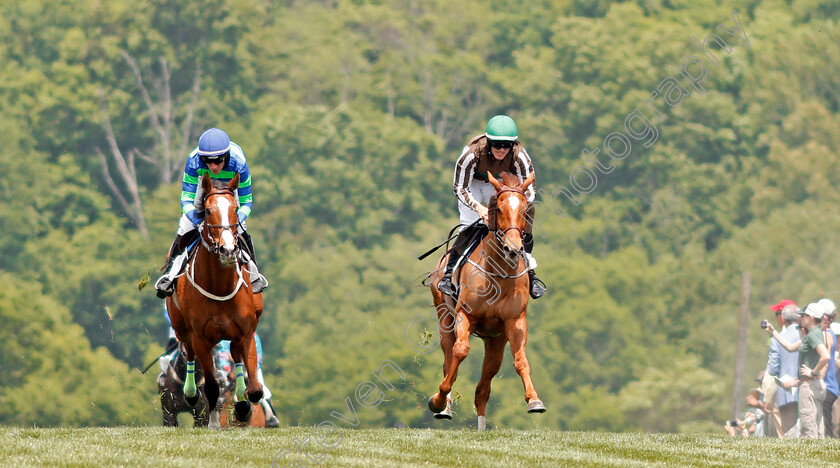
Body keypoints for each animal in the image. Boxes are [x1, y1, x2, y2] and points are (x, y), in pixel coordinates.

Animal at [166, 172, 264, 428]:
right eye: (208, 211)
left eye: (235, 208)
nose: (227, 249)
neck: (220, 287)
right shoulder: (201, 337)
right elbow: (211, 386)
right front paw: (212, 421)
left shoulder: (246, 333)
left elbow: (255, 390)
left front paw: (243, 407)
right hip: (182, 328)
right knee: (188, 351)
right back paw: (190, 393)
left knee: (236, 357)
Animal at [426, 171, 544, 428]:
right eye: (498, 208)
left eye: (524, 209)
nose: (512, 248)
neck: (497, 274)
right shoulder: (465, 316)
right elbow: (460, 351)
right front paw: (438, 401)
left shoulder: (515, 322)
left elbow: (521, 361)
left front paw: (534, 400)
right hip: (444, 319)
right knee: (449, 359)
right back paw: (443, 405)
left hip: (495, 342)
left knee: (482, 389)